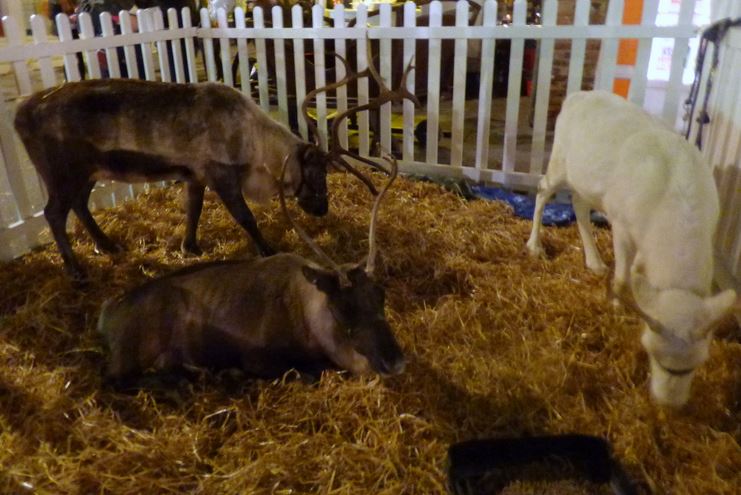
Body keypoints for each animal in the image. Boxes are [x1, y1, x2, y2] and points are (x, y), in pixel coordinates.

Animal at [13, 50, 417, 281]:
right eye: (315, 172)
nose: (322, 208)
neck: (254, 143)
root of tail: (20, 113)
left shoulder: (195, 174)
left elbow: (193, 210)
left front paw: (189, 247)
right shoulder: (222, 173)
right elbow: (245, 217)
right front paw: (268, 251)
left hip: (88, 172)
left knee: (80, 205)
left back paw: (107, 245)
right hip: (62, 172)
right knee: (53, 213)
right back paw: (76, 270)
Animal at [97, 152, 405, 384]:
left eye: (381, 295)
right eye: (343, 307)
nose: (395, 361)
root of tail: (108, 313)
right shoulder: (258, 358)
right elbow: (306, 374)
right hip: (130, 359)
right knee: (117, 380)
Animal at [525, 90, 738, 408]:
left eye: (699, 363)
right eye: (652, 354)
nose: (668, 405)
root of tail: (579, 94)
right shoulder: (623, 228)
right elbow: (624, 278)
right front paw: (616, 305)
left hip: (587, 181)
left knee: (579, 204)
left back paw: (594, 261)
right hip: (560, 161)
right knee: (542, 190)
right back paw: (535, 245)